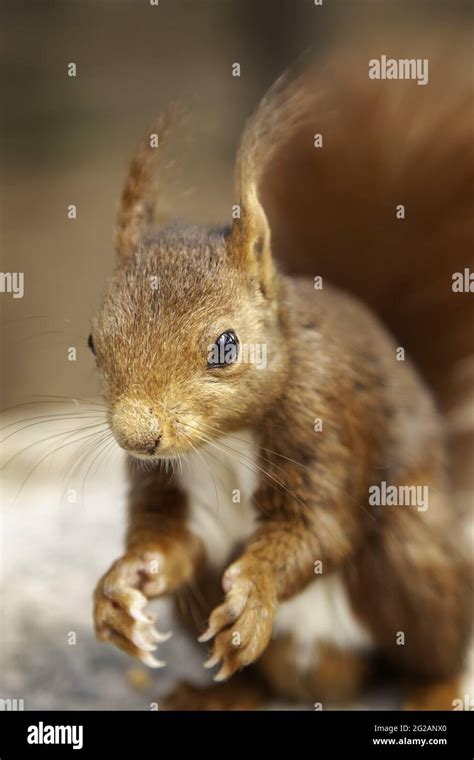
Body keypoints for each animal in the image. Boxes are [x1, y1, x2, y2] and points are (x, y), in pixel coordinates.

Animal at [91, 29, 470, 708]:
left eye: (225, 347)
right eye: (90, 342)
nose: (137, 436)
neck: (221, 442)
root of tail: (325, 669)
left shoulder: (324, 423)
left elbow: (316, 530)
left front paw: (256, 593)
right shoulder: (168, 486)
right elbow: (170, 540)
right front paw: (121, 585)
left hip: (412, 550)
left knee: (436, 640)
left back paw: (437, 688)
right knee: (254, 678)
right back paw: (216, 694)